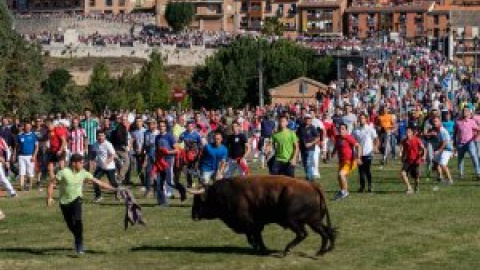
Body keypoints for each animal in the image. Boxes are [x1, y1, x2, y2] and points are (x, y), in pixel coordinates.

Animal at [186, 174, 336, 256]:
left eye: (198, 200)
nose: (193, 215)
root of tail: (312, 185)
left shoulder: (249, 224)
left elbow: (252, 238)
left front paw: (260, 248)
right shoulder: (256, 224)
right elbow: (257, 237)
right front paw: (263, 248)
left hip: (294, 221)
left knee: (303, 234)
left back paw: (287, 250)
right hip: (314, 221)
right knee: (326, 233)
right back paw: (322, 251)